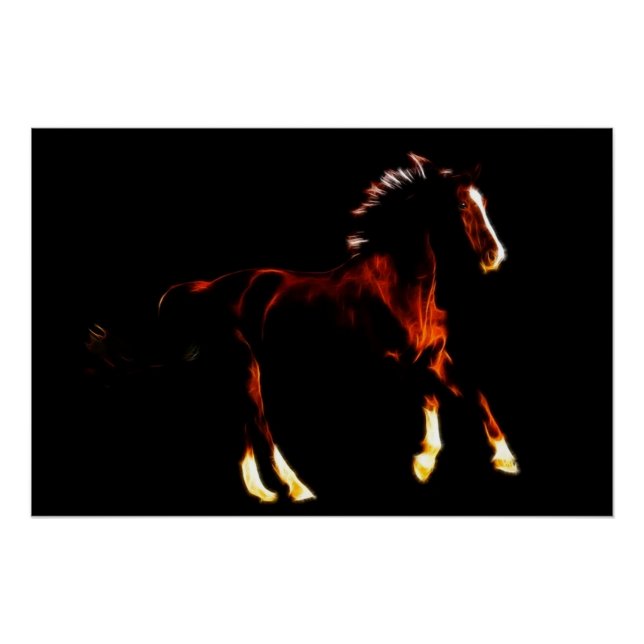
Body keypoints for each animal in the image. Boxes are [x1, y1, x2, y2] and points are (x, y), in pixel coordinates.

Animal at [98, 152, 518, 503]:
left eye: (484, 203)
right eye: (461, 204)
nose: (495, 256)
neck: (401, 287)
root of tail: (208, 289)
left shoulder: (434, 356)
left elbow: (473, 393)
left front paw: (504, 458)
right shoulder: (397, 361)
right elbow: (432, 397)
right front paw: (424, 462)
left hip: (238, 370)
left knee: (245, 427)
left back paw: (262, 492)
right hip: (246, 367)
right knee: (261, 427)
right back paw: (297, 488)